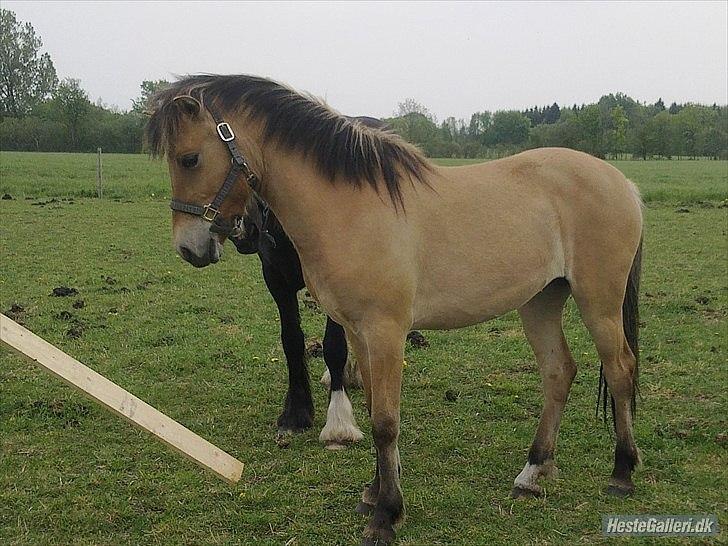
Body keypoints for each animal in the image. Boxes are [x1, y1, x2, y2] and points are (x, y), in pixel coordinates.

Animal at [146, 73, 644, 544]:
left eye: (189, 158)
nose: (189, 247)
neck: (352, 207)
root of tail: (621, 182)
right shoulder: (358, 332)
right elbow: (371, 409)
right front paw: (374, 493)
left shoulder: (385, 331)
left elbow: (386, 422)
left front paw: (386, 515)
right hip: (541, 300)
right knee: (559, 372)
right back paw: (533, 471)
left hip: (598, 302)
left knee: (620, 369)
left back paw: (621, 472)